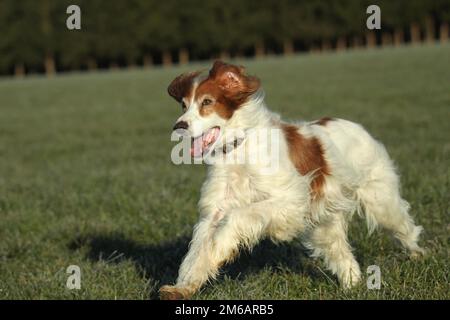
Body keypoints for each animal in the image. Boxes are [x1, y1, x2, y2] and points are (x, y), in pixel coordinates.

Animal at [159, 60, 426, 300]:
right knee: (342, 254)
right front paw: (183, 287)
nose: (179, 126)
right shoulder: (214, 212)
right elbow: (197, 252)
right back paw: (352, 284)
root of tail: (357, 127)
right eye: (183, 105)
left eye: (207, 102)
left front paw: (222, 244)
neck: (239, 150)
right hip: (325, 224)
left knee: (404, 225)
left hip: (380, 202)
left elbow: (238, 217)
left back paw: (418, 255)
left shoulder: (291, 201)